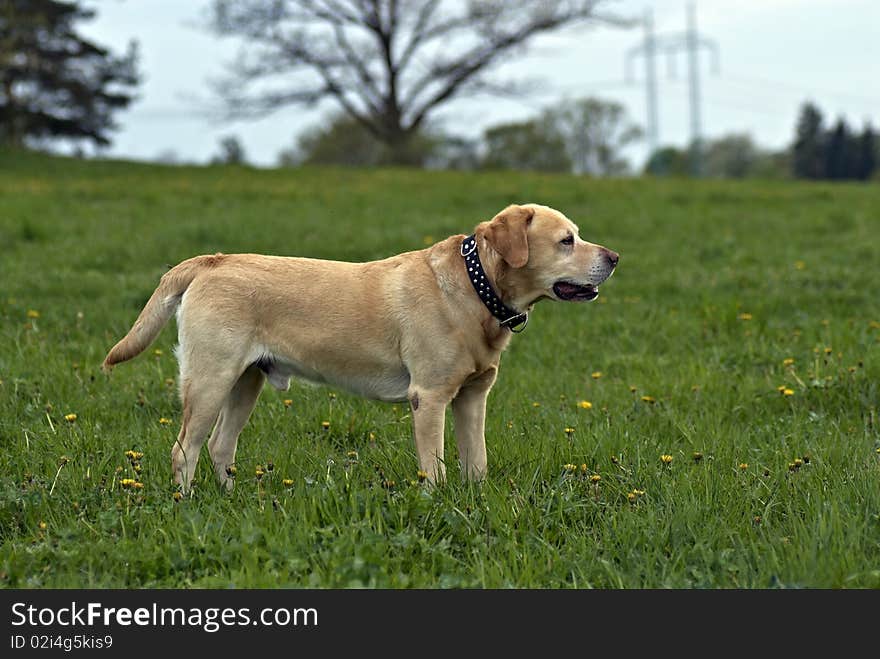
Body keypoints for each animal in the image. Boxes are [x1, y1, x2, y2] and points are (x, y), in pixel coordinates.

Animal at [105, 205, 620, 490]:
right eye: (566, 240)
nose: (615, 257)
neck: (479, 289)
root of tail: (211, 261)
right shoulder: (429, 397)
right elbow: (435, 469)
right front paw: (437, 504)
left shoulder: (474, 397)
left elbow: (477, 462)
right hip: (210, 379)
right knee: (184, 451)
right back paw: (186, 506)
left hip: (245, 382)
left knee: (218, 447)